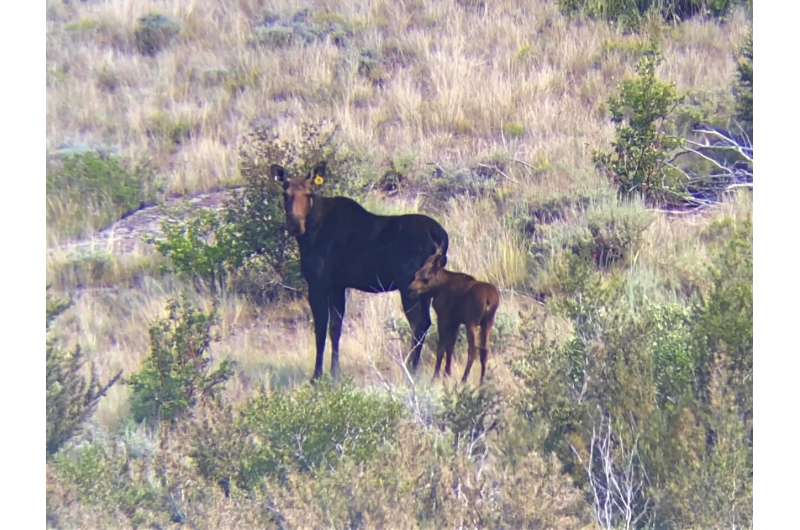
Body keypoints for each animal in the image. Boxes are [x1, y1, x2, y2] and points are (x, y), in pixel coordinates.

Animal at [274, 162, 450, 380]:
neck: (309, 235)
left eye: (309, 193)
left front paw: (316, 376)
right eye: (285, 193)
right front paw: (335, 373)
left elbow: (320, 329)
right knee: (426, 323)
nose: (295, 225)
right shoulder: (337, 286)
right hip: (424, 289)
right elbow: (336, 328)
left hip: (409, 286)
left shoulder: (317, 284)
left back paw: (409, 369)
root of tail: (441, 236)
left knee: (419, 323)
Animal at [410, 248, 496, 384]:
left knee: (473, 349)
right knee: (485, 350)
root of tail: (489, 300)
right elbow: (450, 347)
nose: (410, 290)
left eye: (426, 278)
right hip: (487, 323)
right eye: (416, 274)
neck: (438, 289)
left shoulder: (444, 318)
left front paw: (435, 377)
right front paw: (447, 374)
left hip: (471, 322)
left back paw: (464, 379)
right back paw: (482, 381)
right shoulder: (455, 321)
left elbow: (441, 348)